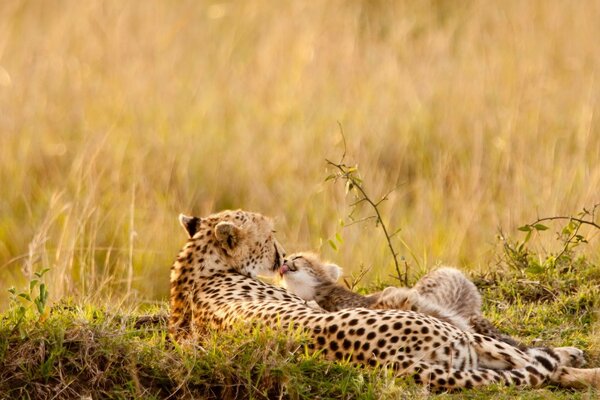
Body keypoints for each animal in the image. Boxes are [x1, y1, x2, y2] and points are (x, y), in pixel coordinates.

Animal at [169, 209, 600, 390]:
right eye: (269, 234)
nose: (282, 253)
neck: (196, 265)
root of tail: (391, 360)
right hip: (462, 340)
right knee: (536, 365)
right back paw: (579, 364)